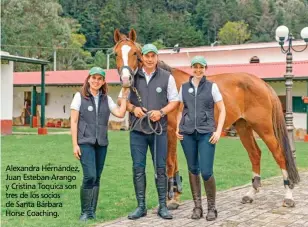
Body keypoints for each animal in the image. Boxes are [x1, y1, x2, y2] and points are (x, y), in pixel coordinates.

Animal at [112, 27, 298, 207]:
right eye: (115, 54)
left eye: (135, 53)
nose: (126, 79)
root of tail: (262, 83)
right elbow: (173, 162)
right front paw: (175, 195)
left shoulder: (170, 132)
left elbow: (170, 162)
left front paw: (171, 199)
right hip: (243, 126)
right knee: (255, 154)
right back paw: (251, 193)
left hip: (264, 128)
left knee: (279, 154)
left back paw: (288, 195)